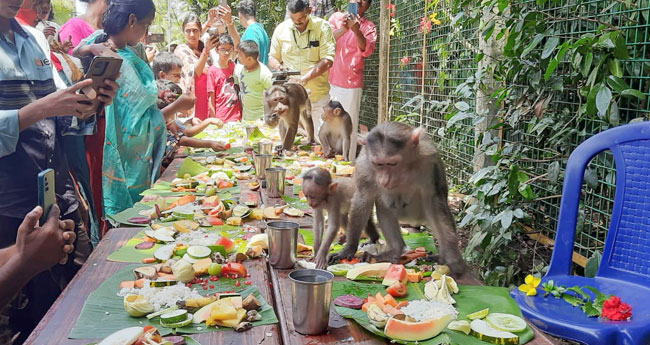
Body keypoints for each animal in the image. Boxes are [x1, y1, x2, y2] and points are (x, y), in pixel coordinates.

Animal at [330, 122, 466, 276]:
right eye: (378, 164)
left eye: (392, 164)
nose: (384, 179)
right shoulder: (365, 165)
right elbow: (363, 199)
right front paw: (349, 248)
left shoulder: (429, 162)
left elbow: (435, 201)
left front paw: (452, 257)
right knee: (383, 205)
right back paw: (394, 251)